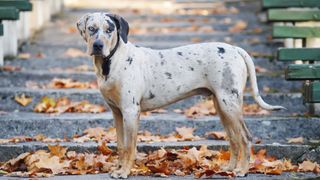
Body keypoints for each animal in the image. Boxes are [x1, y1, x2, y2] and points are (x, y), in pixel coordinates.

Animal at [76, 13, 284, 179]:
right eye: (91, 28)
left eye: (109, 29)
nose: (97, 45)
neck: (111, 62)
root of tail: (235, 49)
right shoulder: (117, 113)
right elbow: (120, 145)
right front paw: (118, 169)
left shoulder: (130, 111)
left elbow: (129, 147)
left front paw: (124, 172)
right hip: (222, 106)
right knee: (234, 139)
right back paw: (229, 168)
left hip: (229, 103)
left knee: (245, 138)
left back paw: (242, 170)